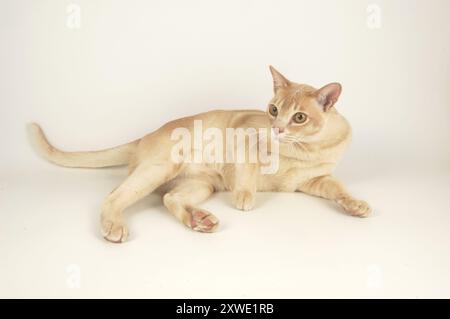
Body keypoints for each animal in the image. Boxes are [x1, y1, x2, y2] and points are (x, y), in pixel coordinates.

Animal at [29, 66, 372, 244]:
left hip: (202, 184)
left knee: (170, 199)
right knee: (114, 194)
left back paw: (200, 220)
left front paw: (356, 205)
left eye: (299, 117)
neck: (303, 150)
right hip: (163, 166)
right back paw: (114, 225)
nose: (276, 129)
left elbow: (340, 190)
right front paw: (244, 196)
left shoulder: (316, 180)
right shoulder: (245, 134)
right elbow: (248, 172)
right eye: (273, 110)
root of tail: (144, 135)